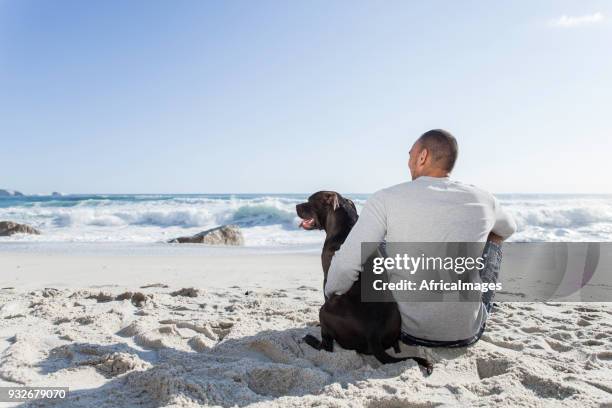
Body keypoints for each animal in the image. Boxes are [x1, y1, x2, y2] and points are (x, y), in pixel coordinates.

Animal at [296, 191, 430, 372]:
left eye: (310, 201)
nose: (296, 206)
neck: (346, 227)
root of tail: (373, 334)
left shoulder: (328, 280)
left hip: (324, 311)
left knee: (327, 346)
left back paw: (311, 339)